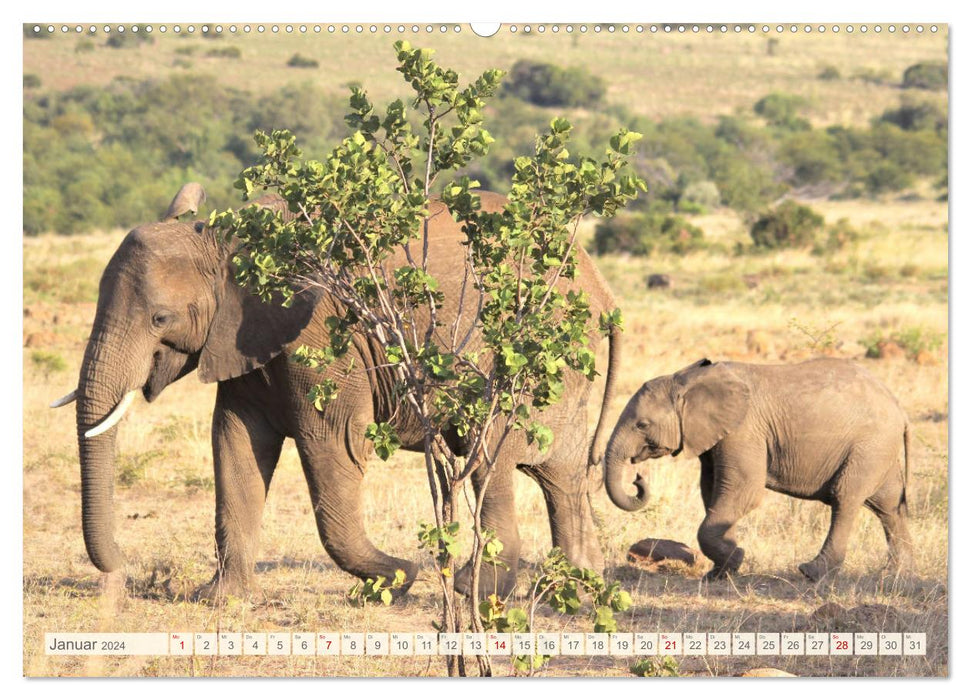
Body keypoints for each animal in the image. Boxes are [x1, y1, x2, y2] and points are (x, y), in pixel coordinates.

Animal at [53, 183, 624, 600]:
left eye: (159, 318)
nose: (124, 572)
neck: (233, 240)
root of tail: (603, 291)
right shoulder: (243, 340)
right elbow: (235, 446)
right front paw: (218, 599)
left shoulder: (326, 337)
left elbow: (332, 444)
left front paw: (400, 577)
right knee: (561, 479)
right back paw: (577, 589)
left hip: (525, 355)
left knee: (490, 456)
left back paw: (475, 589)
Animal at [604, 358, 916, 584]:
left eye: (642, 425)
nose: (638, 478)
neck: (687, 380)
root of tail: (900, 409)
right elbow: (712, 492)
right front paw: (721, 571)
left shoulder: (744, 430)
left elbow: (744, 491)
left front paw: (734, 560)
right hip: (878, 449)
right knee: (888, 505)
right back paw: (896, 574)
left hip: (869, 445)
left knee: (846, 498)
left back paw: (812, 573)